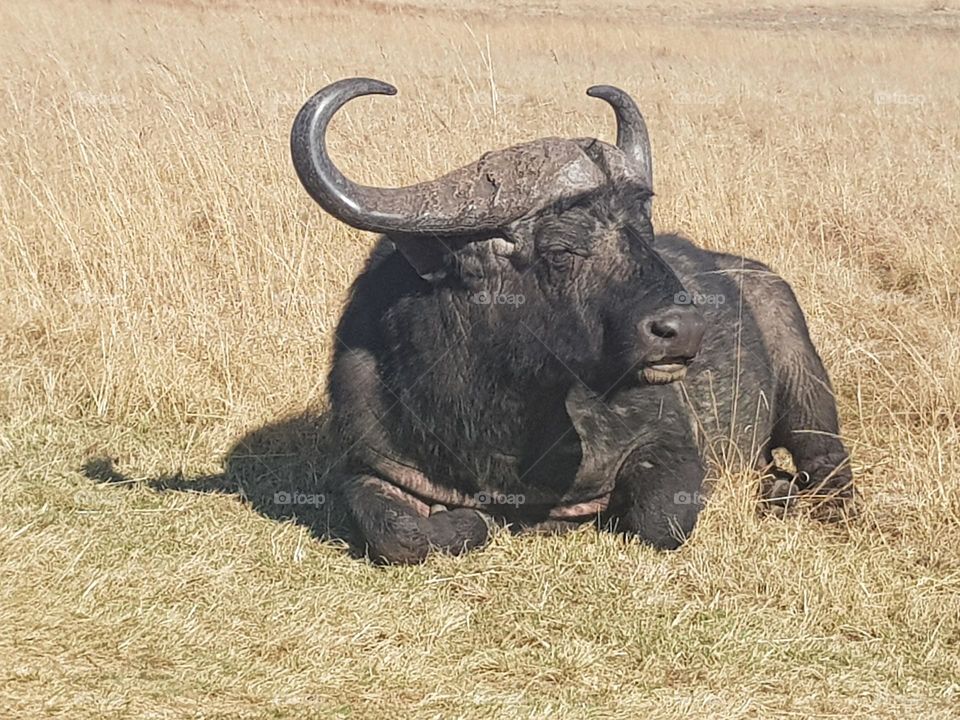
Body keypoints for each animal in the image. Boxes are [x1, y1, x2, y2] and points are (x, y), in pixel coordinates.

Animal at [288, 77, 852, 564]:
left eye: (642, 231)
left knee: (827, 465)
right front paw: (467, 520)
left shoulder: (668, 442)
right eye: (560, 249)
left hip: (807, 392)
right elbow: (399, 532)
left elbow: (660, 519)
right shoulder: (369, 464)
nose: (684, 330)